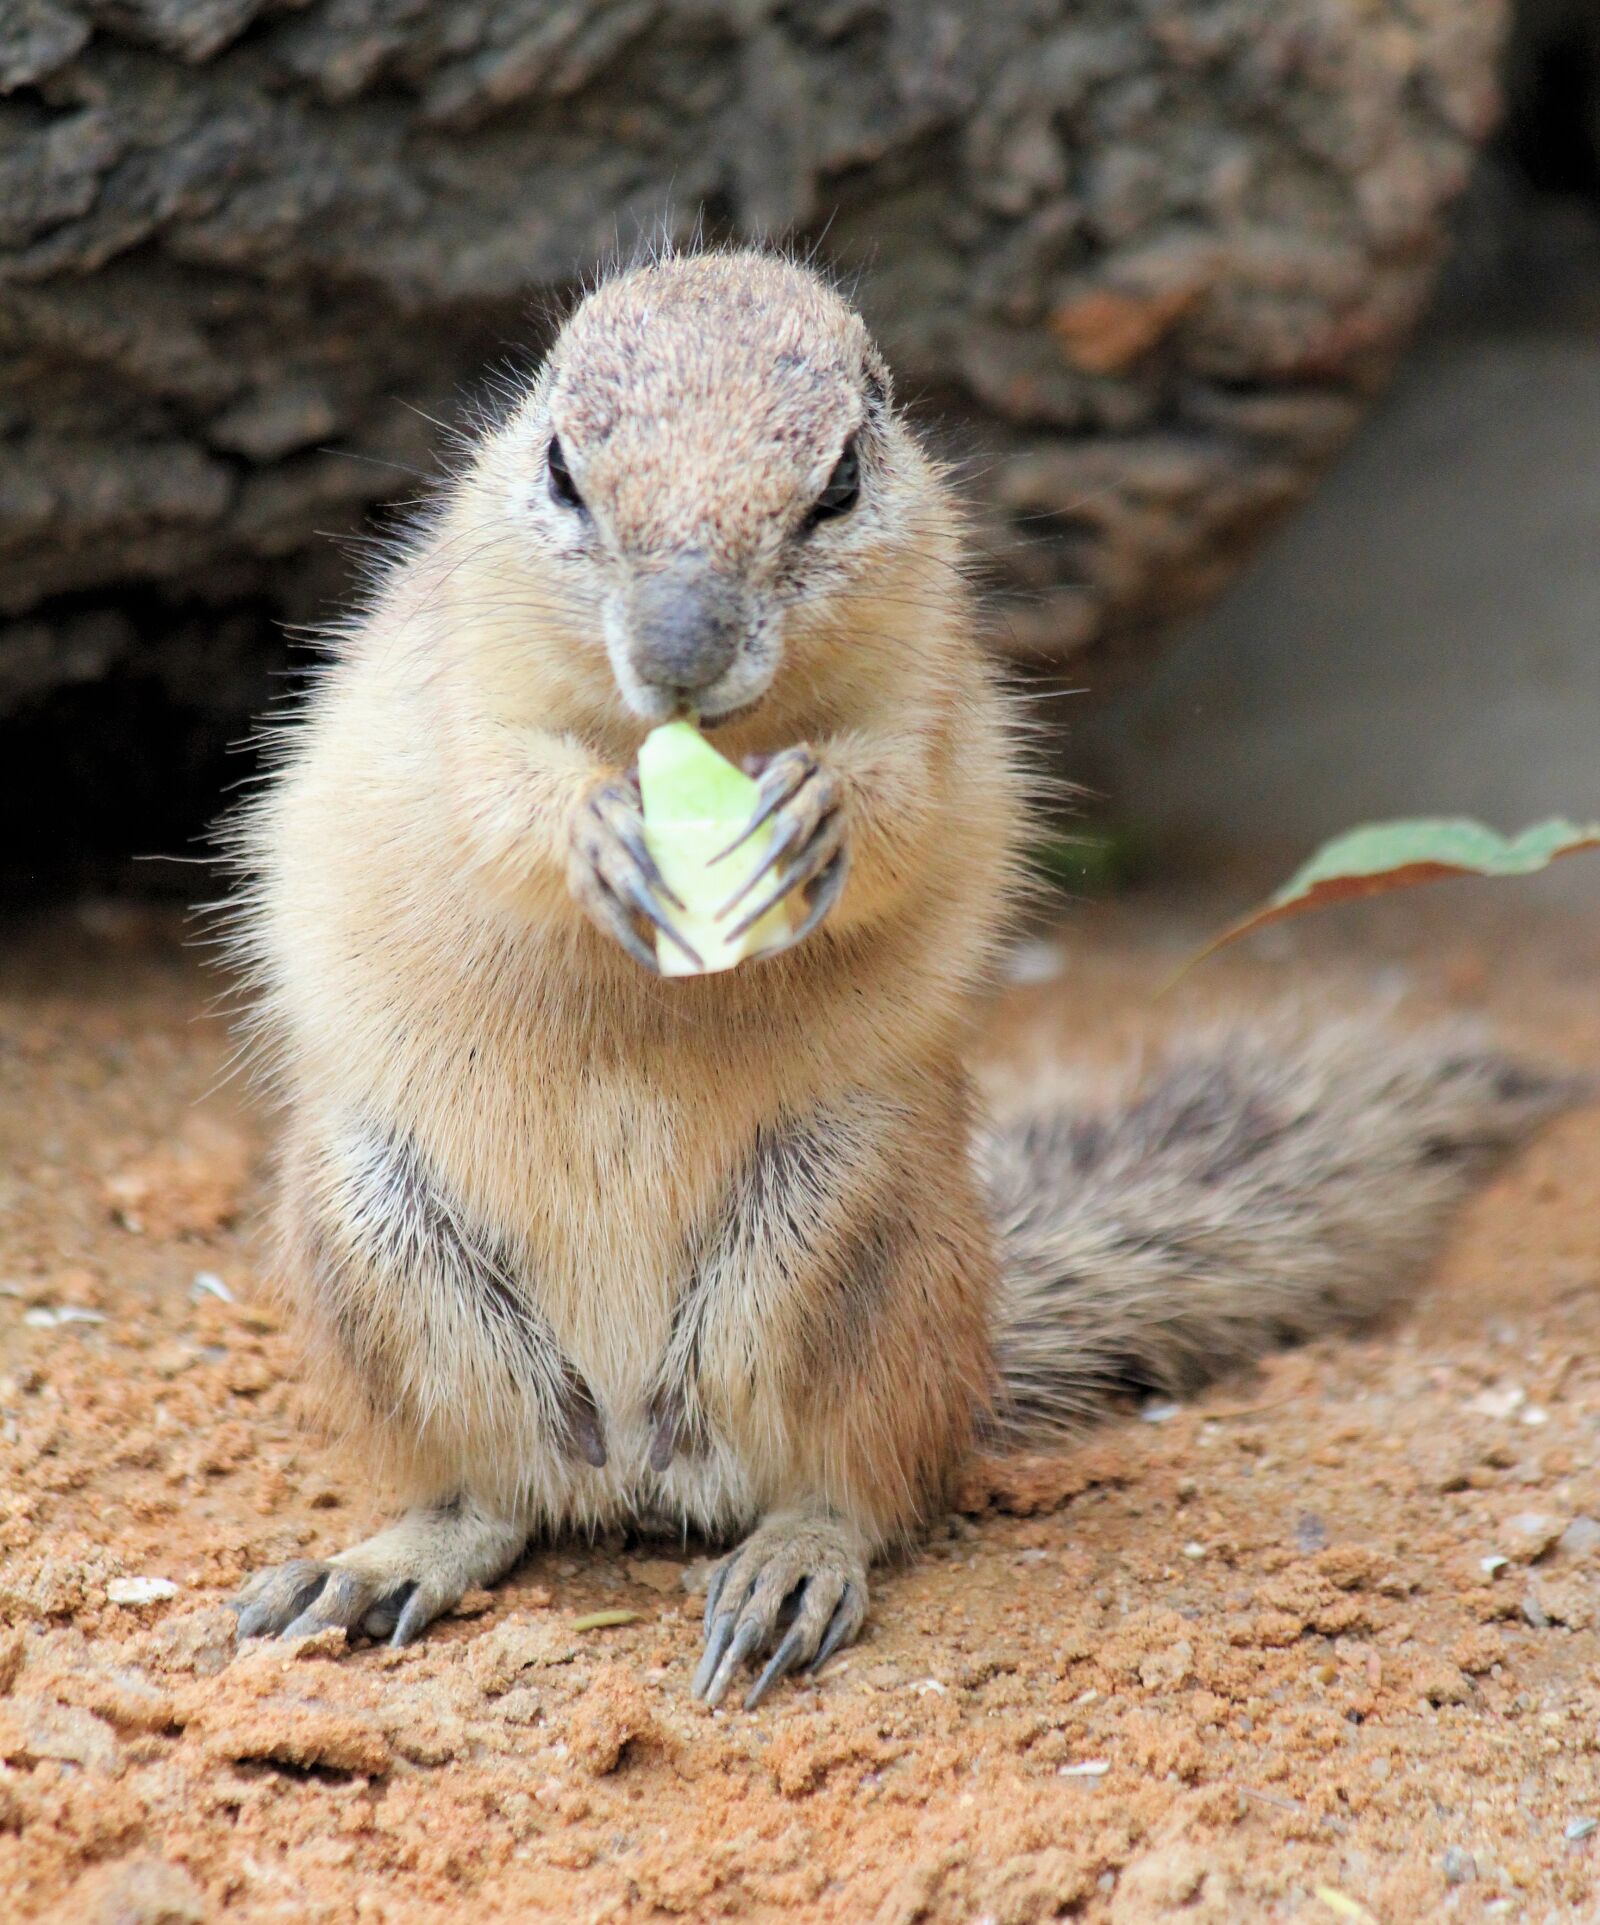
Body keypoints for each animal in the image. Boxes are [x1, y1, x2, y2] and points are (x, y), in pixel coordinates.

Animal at [226, 248, 1565, 1709]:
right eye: (563, 468)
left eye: (841, 483)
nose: (680, 652)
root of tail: (637, 1457)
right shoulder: (455, 685)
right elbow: (491, 792)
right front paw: (593, 829)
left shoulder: (935, 702)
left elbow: (908, 807)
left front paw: (822, 813)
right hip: (380, 1248)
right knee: (495, 1495)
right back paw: (376, 1566)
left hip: (843, 1243)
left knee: (852, 1492)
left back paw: (782, 1572)